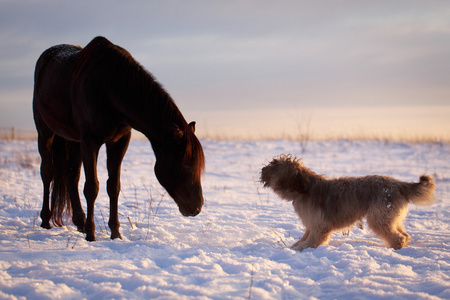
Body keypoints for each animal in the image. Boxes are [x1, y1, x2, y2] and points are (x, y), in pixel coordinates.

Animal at [32, 35, 205, 241]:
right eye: (186, 165)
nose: (197, 207)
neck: (110, 88)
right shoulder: (90, 142)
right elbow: (92, 187)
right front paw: (91, 235)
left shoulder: (119, 142)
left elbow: (113, 186)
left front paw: (115, 233)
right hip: (45, 132)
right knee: (47, 173)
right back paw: (46, 221)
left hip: (74, 141)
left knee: (71, 176)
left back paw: (80, 222)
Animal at [260, 155, 436, 251]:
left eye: (273, 165)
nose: (262, 169)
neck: (303, 188)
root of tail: (400, 184)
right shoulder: (310, 225)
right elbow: (303, 238)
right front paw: (292, 247)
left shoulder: (319, 225)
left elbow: (311, 240)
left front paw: (300, 249)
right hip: (390, 217)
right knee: (404, 235)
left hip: (379, 217)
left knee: (397, 237)